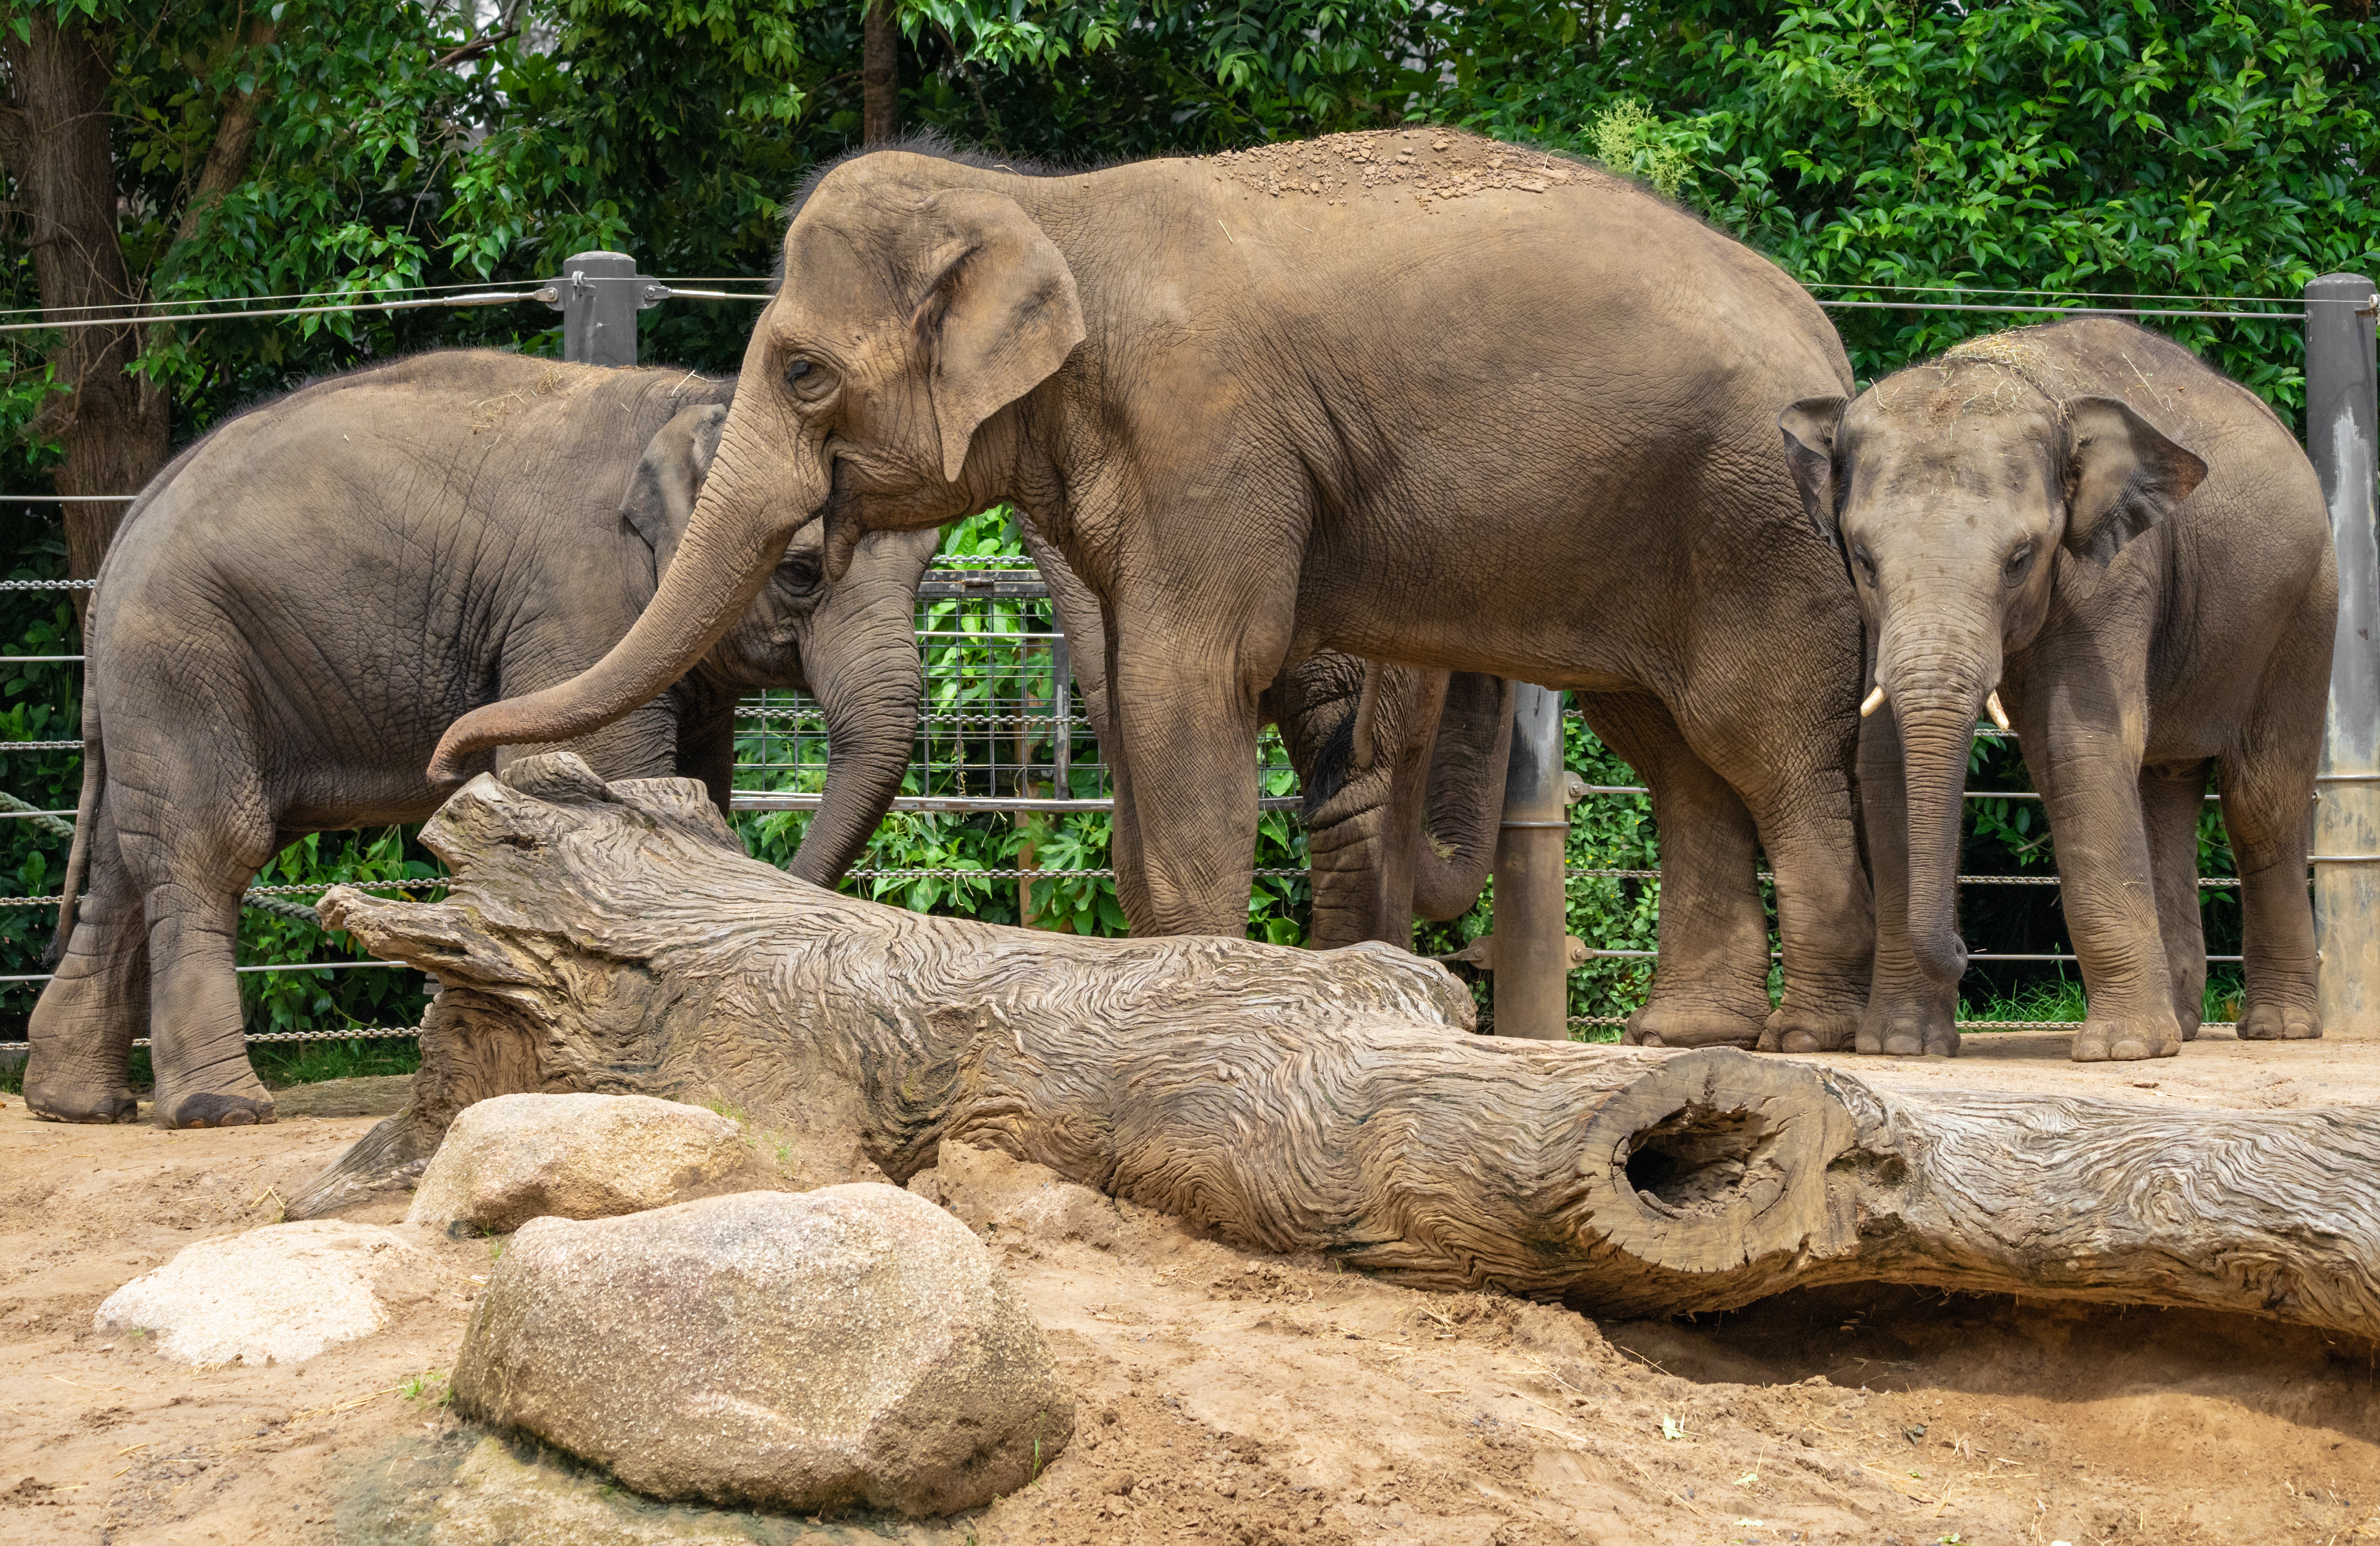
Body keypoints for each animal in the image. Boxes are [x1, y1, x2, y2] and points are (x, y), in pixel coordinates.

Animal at [25, 350, 938, 1128]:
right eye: (802, 572)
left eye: (930, 567)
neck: (702, 401)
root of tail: (125, 532)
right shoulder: (581, 601)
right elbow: (613, 768)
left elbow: (697, 786)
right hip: (183, 653)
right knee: (208, 848)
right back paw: (222, 1110)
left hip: (154, 684)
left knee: (123, 863)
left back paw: (77, 1106)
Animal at [430, 130, 1878, 1054]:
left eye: (800, 372)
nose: (450, 756)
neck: (1045, 209)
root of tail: (1831, 342)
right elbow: (1131, 688)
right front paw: (1145, 979)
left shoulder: (1209, 428)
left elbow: (1190, 678)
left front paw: (1192, 983)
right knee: (1673, 747)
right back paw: (1690, 1034)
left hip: (1754, 522)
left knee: (1760, 743)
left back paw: (1806, 1040)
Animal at [1776, 318, 2337, 1060]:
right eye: (1863, 560)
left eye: (2020, 559)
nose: (1970, 949)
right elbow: (1885, 760)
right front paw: (1901, 1046)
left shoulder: (2111, 575)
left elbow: (2078, 745)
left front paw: (2121, 1050)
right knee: (2163, 788)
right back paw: (2184, 1024)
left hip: (2307, 606)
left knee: (2261, 800)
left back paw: (2280, 1029)